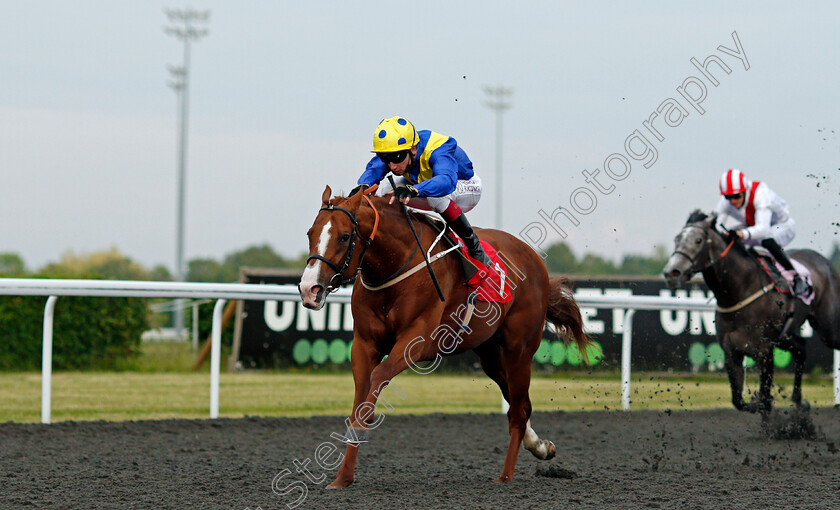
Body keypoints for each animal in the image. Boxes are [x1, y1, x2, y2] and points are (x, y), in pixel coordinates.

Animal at [298, 185, 588, 488]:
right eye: (310, 233)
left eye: (344, 236)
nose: (309, 289)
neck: (395, 265)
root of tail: (533, 258)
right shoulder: (365, 344)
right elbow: (361, 394)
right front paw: (342, 478)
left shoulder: (416, 341)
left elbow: (377, 381)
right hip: (489, 353)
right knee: (521, 404)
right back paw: (540, 446)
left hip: (519, 349)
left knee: (518, 412)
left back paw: (505, 476)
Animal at [664, 211, 840, 414]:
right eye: (677, 239)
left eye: (698, 240)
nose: (671, 272)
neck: (741, 290)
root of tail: (825, 261)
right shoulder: (732, 353)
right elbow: (739, 401)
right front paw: (758, 403)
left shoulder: (764, 351)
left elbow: (764, 394)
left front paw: (764, 402)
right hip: (784, 335)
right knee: (801, 347)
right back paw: (799, 400)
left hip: (828, 329)